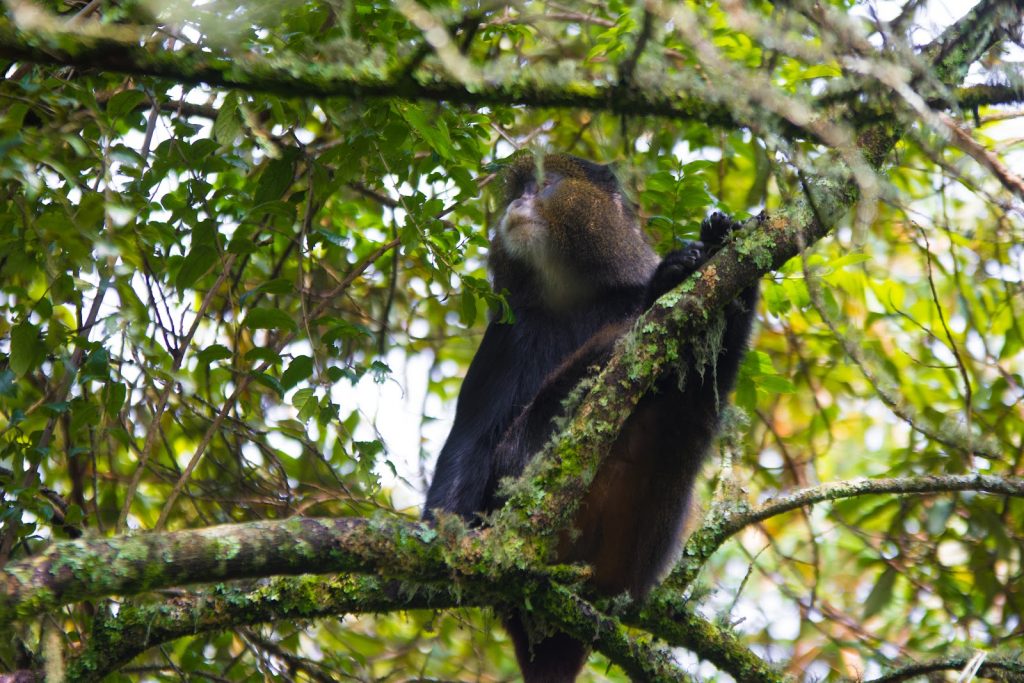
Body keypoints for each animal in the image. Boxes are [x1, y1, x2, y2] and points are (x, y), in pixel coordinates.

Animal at [423, 153, 759, 682]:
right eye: (519, 189)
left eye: (544, 185)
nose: (518, 202)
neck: (574, 295)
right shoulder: (507, 331)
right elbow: (470, 442)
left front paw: (724, 256)